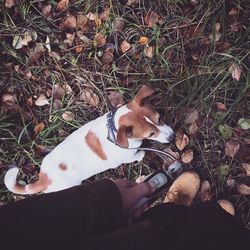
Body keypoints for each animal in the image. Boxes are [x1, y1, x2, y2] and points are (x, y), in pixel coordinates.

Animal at [4, 85, 175, 193]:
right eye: (151, 134)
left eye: (160, 118)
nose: (173, 137)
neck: (113, 129)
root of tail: (44, 179)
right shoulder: (125, 157)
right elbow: (139, 153)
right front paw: (141, 153)